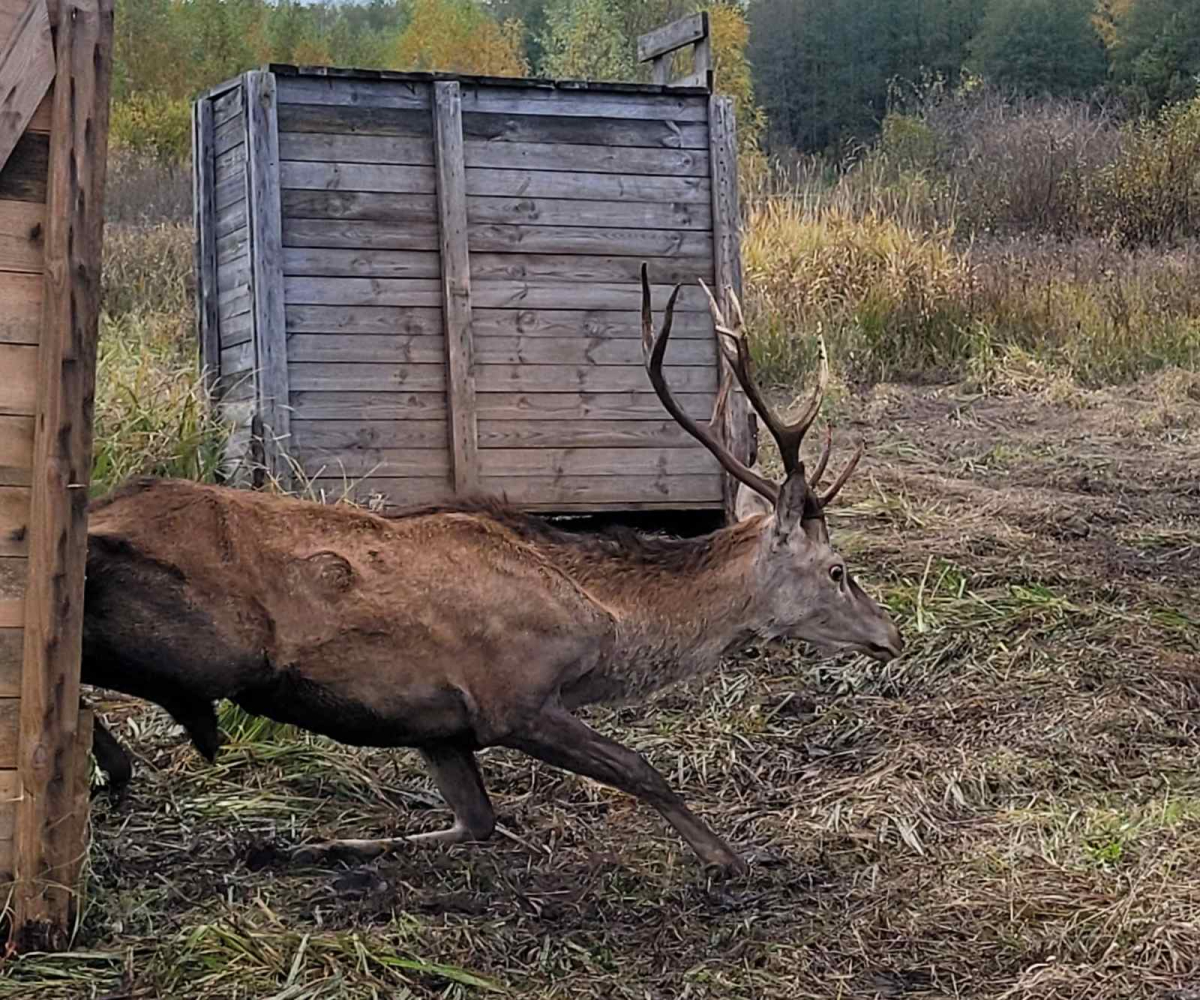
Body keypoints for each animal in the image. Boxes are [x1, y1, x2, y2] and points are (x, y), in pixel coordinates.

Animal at [82, 267, 902, 873]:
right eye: (838, 569)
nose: (891, 635)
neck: (605, 625)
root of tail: (109, 504)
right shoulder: (512, 696)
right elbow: (641, 768)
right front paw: (730, 860)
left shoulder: (437, 724)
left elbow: (476, 820)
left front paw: (302, 846)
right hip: (202, 640)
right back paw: (116, 762)